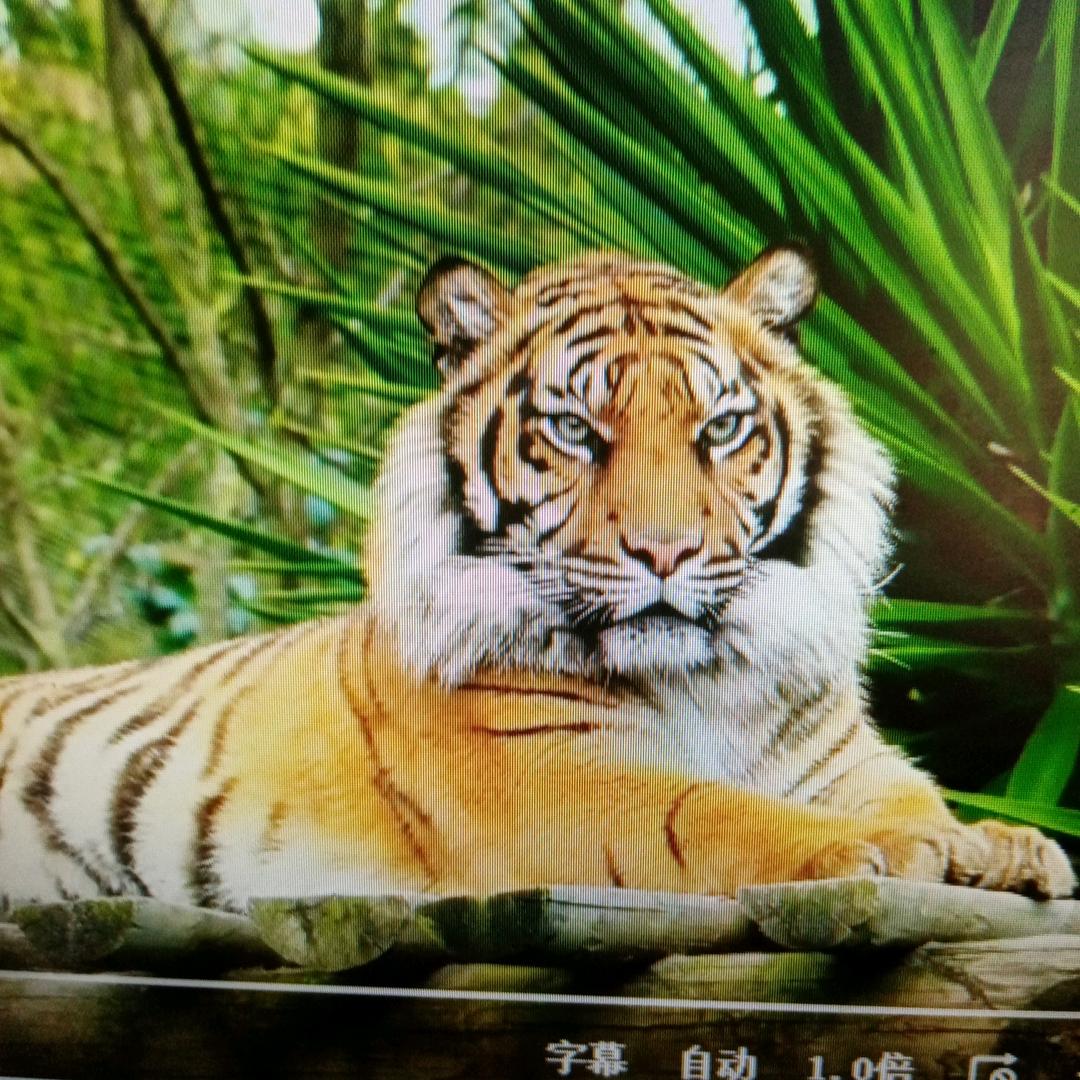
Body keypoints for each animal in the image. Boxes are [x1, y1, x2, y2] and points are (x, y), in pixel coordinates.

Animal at [0, 246, 1073, 915]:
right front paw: (892, 855)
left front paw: (996, 845)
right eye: (573, 430)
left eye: (721, 428)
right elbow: (709, 810)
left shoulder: (845, 761)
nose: (666, 554)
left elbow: (917, 801)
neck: (701, 682)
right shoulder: (543, 780)